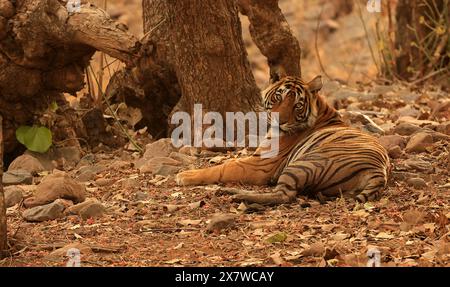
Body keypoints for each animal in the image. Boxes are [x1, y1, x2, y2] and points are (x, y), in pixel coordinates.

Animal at [176, 75, 390, 206]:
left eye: (297, 105)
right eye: (279, 98)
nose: (281, 121)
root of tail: (378, 170)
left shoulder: (260, 165)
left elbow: (223, 167)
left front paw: (185, 175)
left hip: (305, 163)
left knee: (285, 195)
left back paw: (236, 195)